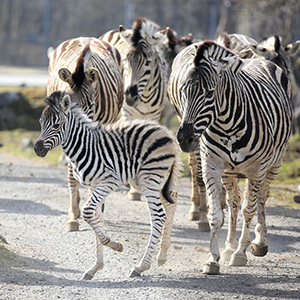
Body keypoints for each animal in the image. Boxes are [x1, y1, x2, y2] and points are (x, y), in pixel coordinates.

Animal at [34, 91, 180, 278]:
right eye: (41, 123)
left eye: (57, 125)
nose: (37, 148)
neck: (85, 148)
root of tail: (166, 132)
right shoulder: (93, 186)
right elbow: (97, 218)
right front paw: (95, 267)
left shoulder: (109, 181)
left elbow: (87, 212)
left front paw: (115, 245)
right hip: (142, 180)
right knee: (171, 200)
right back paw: (162, 255)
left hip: (150, 177)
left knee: (158, 215)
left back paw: (141, 266)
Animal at [46, 35, 123, 232]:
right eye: (66, 100)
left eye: (89, 102)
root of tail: (85, 38)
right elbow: (72, 174)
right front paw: (73, 215)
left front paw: (96, 207)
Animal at [170, 41, 292, 276]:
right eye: (182, 90)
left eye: (209, 93)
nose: (184, 138)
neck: (227, 125)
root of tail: (259, 59)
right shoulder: (212, 166)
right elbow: (217, 215)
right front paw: (213, 259)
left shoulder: (256, 169)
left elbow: (249, 209)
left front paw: (240, 254)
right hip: (230, 172)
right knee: (233, 201)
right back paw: (229, 246)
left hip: (275, 164)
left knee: (262, 197)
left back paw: (259, 243)